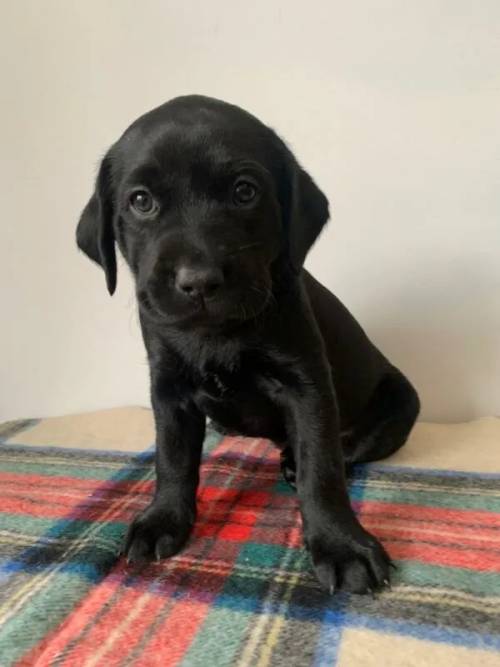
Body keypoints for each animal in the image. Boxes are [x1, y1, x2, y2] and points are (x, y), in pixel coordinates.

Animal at [78, 95, 420, 596]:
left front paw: (341, 544)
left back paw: (297, 461)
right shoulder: (168, 390)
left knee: (348, 446)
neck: (216, 335)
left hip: (402, 398)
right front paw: (163, 519)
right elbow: (172, 457)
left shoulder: (306, 385)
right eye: (141, 201)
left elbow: (323, 467)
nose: (198, 281)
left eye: (245, 192)